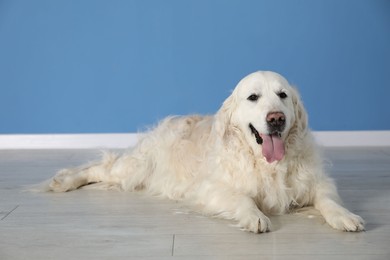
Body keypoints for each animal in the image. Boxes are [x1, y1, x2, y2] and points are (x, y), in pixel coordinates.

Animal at [43, 70, 366, 233]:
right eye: (253, 97)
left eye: (283, 95)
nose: (276, 118)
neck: (266, 163)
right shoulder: (212, 188)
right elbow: (243, 198)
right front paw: (255, 217)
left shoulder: (317, 181)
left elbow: (327, 199)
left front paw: (345, 216)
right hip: (136, 167)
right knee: (98, 168)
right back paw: (63, 181)